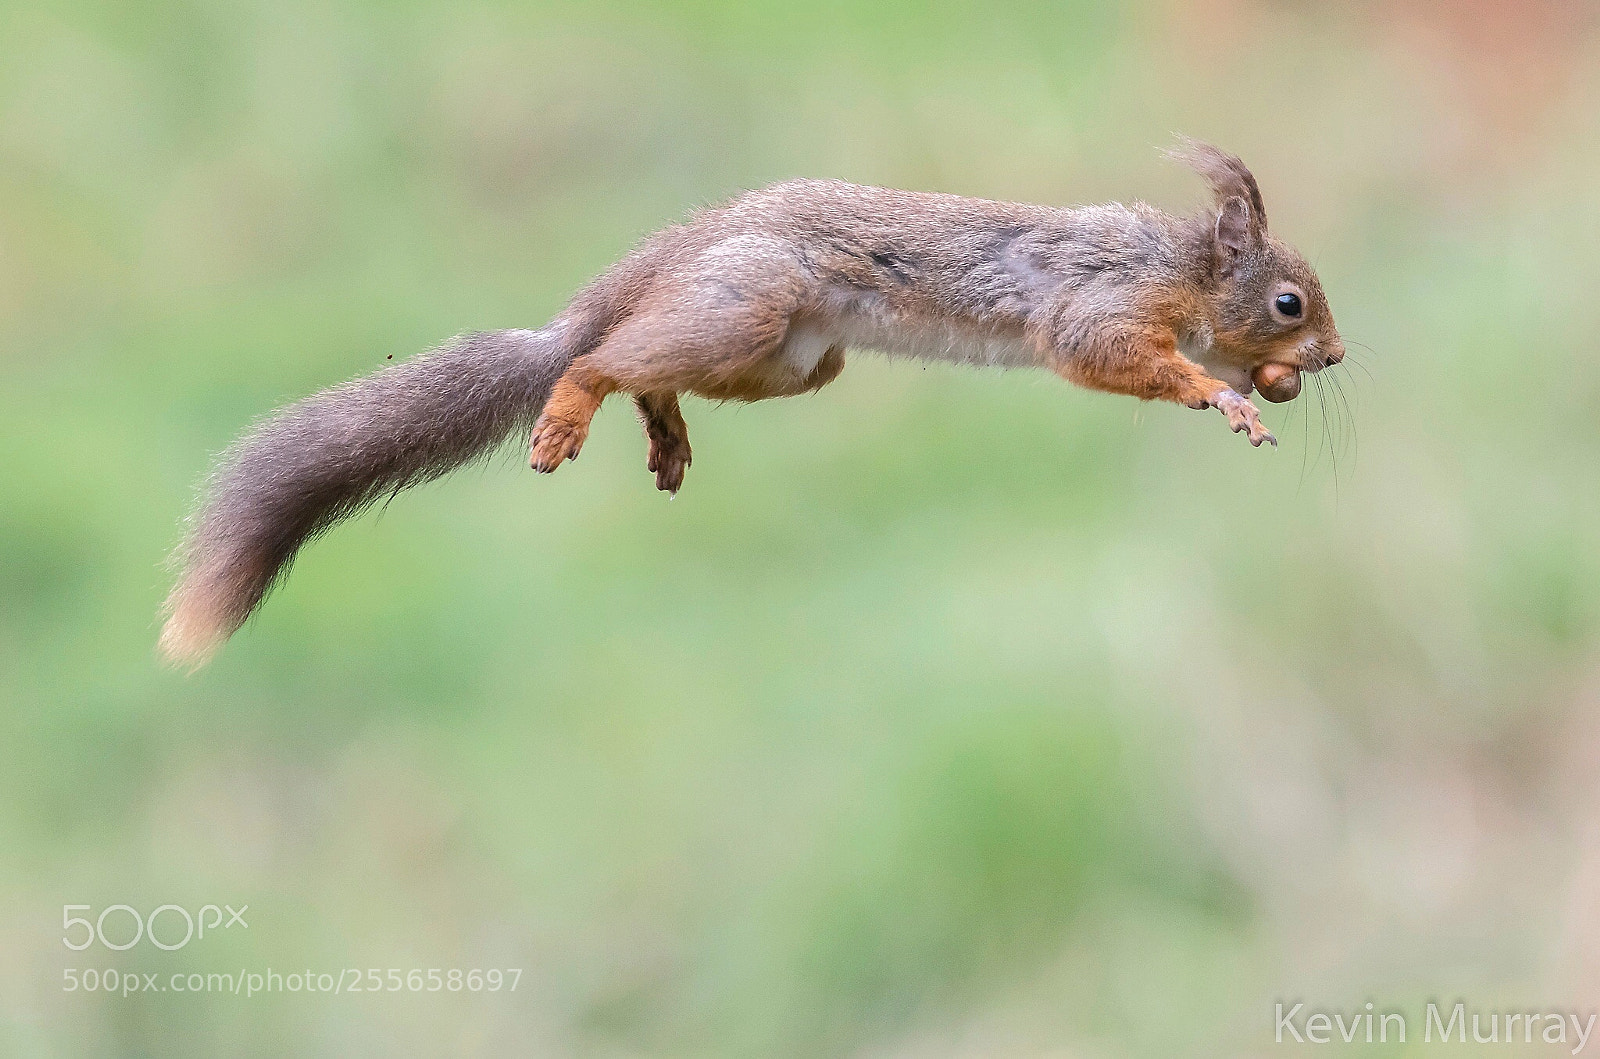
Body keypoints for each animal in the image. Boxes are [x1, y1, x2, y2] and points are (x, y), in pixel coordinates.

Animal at [160, 140, 1343, 668]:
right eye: (1289, 300)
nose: (1329, 356)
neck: (1180, 268)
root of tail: (652, 265)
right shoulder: (1101, 304)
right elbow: (1113, 353)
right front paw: (1222, 395)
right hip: (748, 306)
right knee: (600, 359)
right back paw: (570, 403)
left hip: (793, 361)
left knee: (648, 367)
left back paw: (664, 429)